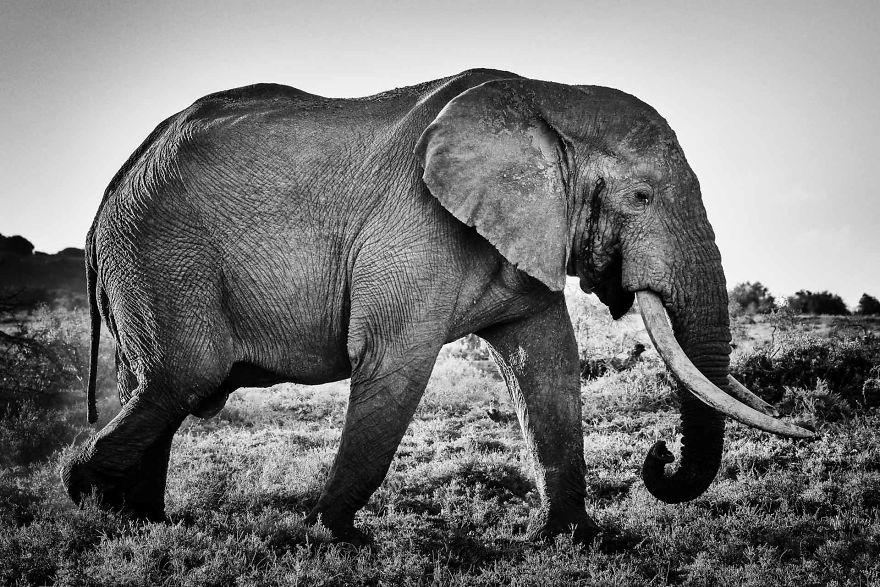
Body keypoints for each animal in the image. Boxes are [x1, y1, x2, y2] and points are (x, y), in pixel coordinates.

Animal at [61, 68, 813, 544]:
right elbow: (394, 364)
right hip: (163, 257)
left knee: (157, 389)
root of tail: (110, 191)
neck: (546, 98)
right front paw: (340, 540)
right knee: (180, 380)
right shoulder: (414, 229)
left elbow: (548, 368)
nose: (657, 459)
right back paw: (89, 496)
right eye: (642, 198)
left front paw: (580, 542)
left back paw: (143, 521)